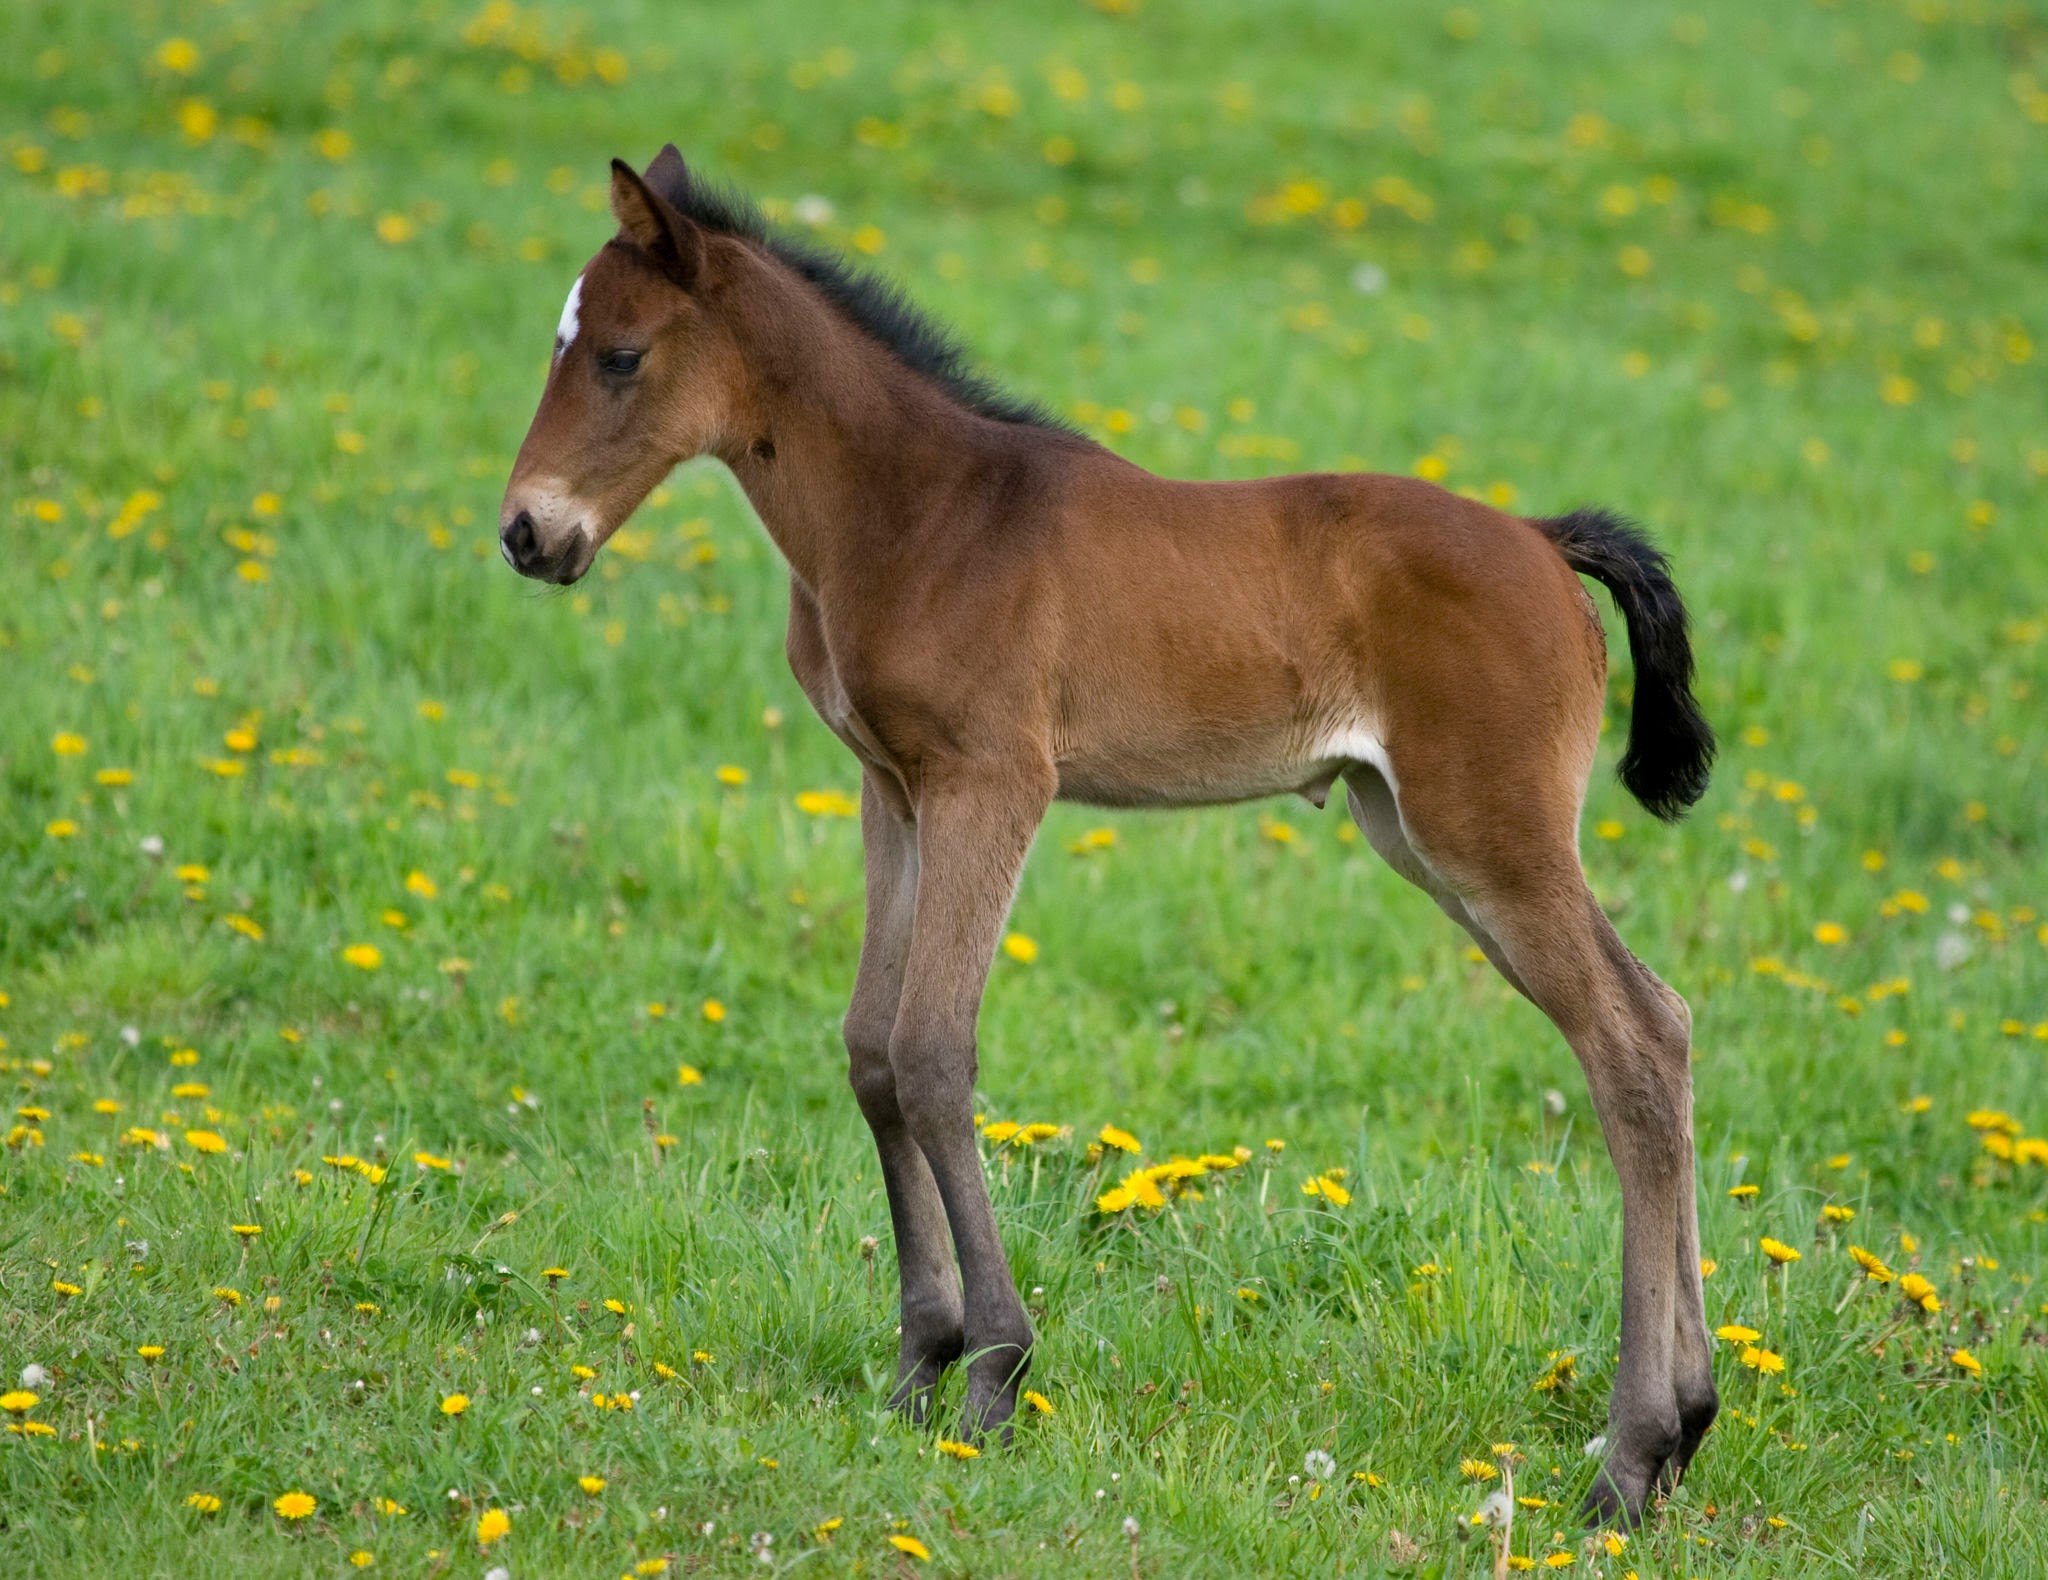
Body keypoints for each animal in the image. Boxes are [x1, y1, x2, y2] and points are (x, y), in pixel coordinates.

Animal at [503, 151, 1720, 1532]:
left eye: (618, 355)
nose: (526, 533)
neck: (920, 512)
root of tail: (1541, 541)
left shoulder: (992, 782)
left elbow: (932, 1050)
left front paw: (991, 1373)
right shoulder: (892, 788)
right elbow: (871, 1049)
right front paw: (916, 1366)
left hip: (1490, 836)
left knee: (1627, 1048)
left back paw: (1627, 1458)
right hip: (1415, 830)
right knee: (1663, 1020)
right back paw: (1685, 1425)